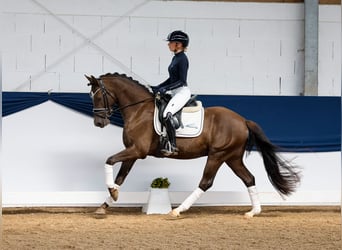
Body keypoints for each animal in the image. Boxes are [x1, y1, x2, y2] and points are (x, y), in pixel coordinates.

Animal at [87, 73, 300, 219]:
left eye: (97, 96)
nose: (98, 122)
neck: (138, 110)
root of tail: (242, 120)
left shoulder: (137, 151)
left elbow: (109, 161)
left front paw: (111, 193)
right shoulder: (133, 153)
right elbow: (120, 177)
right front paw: (106, 202)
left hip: (217, 155)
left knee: (206, 182)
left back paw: (178, 210)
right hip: (232, 157)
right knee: (249, 178)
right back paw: (253, 211)